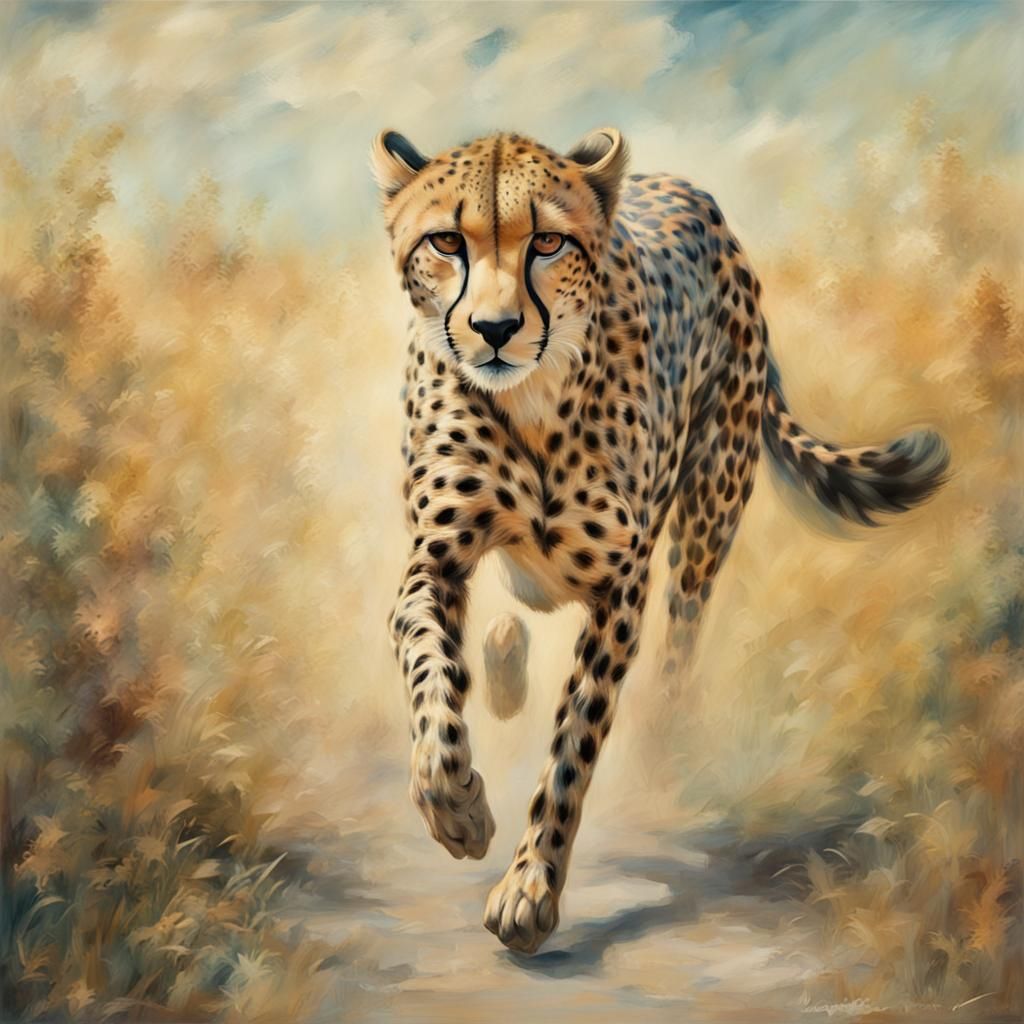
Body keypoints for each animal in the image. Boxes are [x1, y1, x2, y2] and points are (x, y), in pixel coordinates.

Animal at [371, 127, 948, 955]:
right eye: (446, 242)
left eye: (547, 242)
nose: (495, 331)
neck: (534, 403)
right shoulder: (436, 560)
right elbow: (432, 678)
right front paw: (456, 806)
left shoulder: (620, 590)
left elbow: (571, 748)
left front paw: (530, 888)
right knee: (512, 623)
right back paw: (506, 667)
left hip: (703, 525)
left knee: (677, 651)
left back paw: (660, 756)